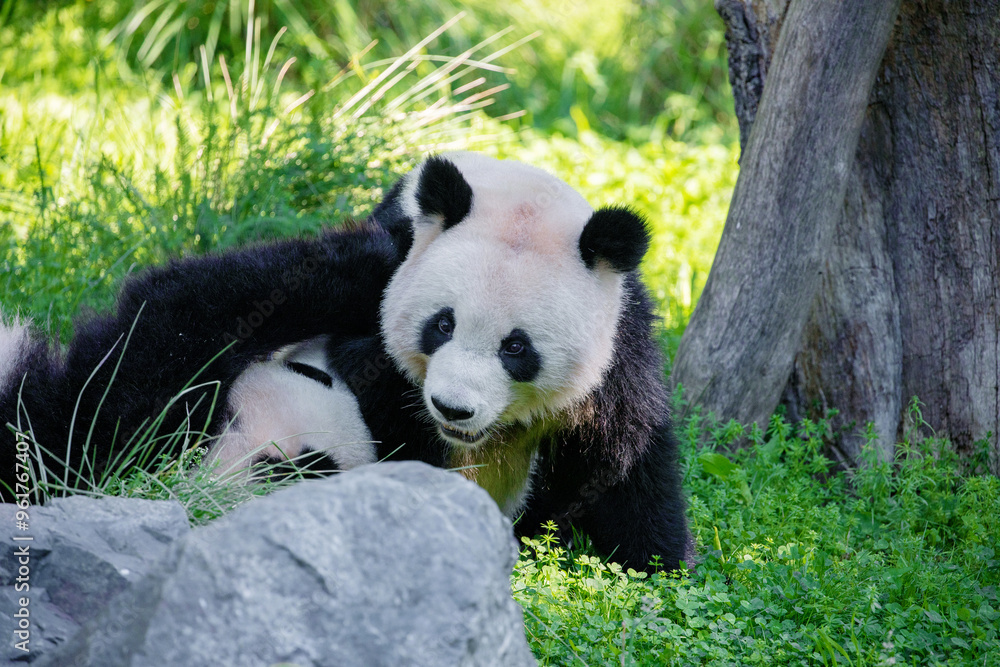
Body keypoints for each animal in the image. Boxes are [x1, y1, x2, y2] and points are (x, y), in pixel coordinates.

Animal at [0, 152, 693, 571]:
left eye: (516, 347)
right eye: (442, 324)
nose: (454, 408)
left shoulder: (616, 348)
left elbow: (623, 461)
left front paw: (653, 565)